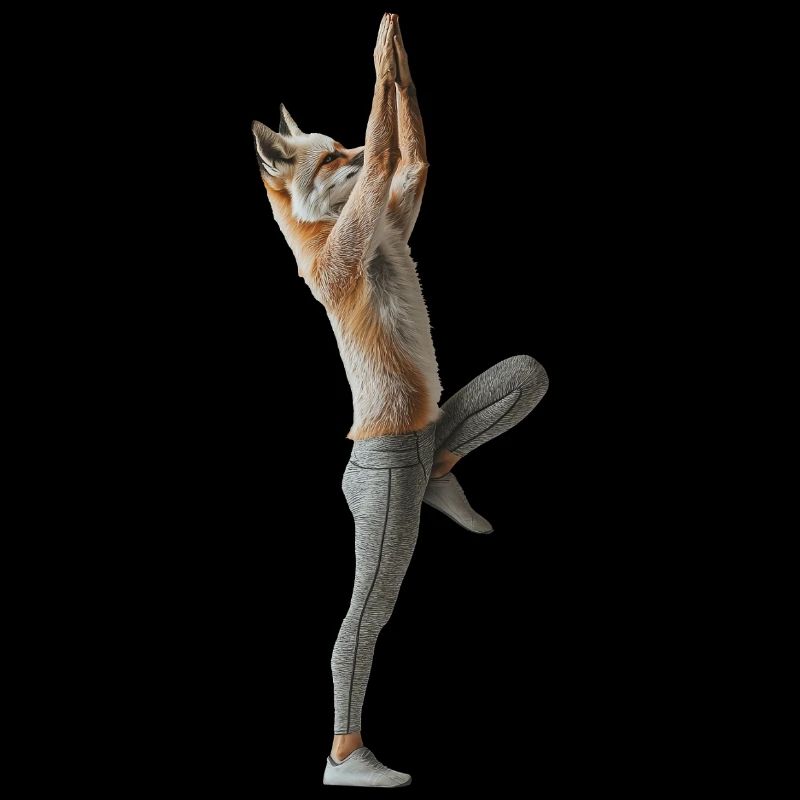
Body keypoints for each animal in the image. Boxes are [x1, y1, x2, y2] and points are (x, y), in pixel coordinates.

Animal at [251, 14, 440, 440]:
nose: (361, 149)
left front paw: (400, 64)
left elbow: (413, 163)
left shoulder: (393, 225)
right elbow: (383, 161)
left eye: (339, 146)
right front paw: (382, 63)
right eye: (330, 159)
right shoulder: (344, 256)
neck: (327, 224)